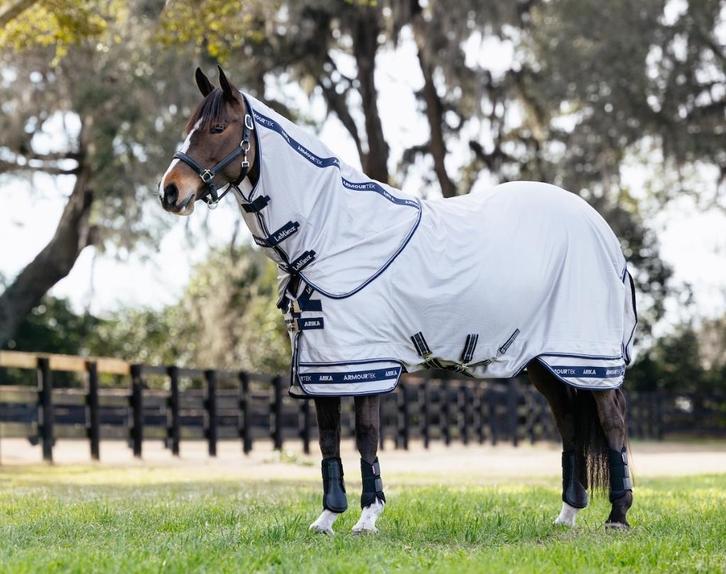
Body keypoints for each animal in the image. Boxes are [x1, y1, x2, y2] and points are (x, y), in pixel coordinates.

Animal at [159, 66, 636, 535]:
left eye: (218, 127)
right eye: (189, 128)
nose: (170, 191)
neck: (332, 232)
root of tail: (604, 233)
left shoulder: (366, 363)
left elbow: (367, 435)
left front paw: (367, 517)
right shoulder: (323, 367)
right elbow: (328, 438)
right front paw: (327, 517)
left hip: (588, 358)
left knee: (612, 422)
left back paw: (618, 515)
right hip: (545, 362)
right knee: (570, 425)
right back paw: (567, 514)